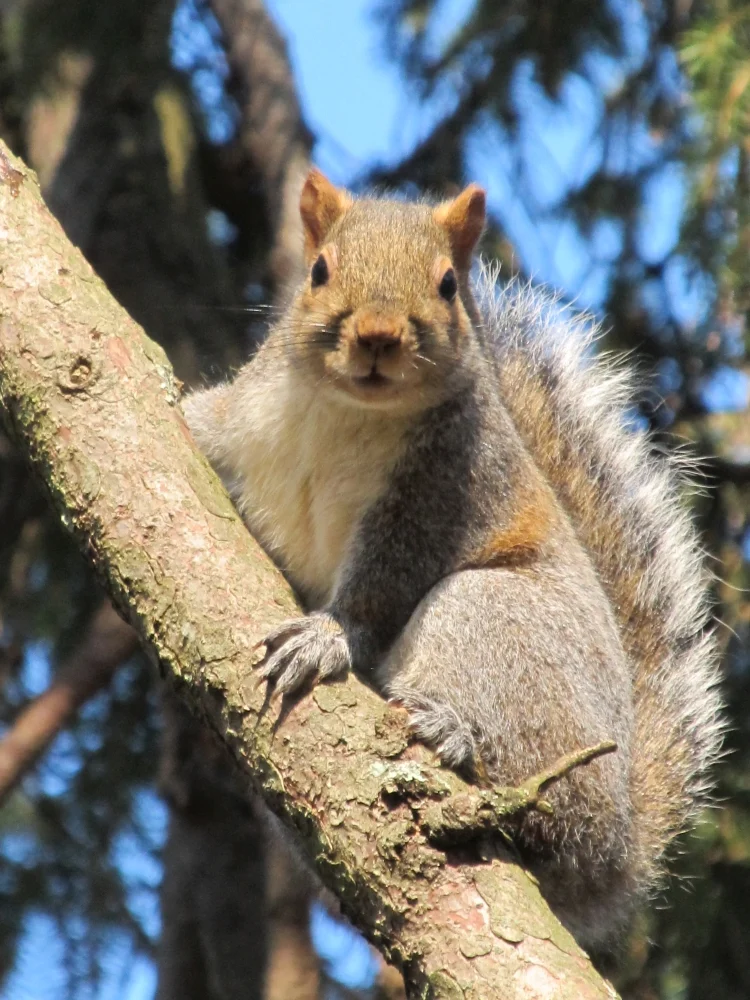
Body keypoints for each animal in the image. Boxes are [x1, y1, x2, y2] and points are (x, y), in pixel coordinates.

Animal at [183, 168, 724, 951]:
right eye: (320, 271)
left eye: (445, 284)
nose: (377, 336)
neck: (349, 411)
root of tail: (619, 855)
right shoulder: (248, 420)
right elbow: (205, 424)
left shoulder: (438, 494)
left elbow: (379, 588)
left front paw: (325, 637)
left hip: (494, 625)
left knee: (549, 813)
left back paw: (457, 736)